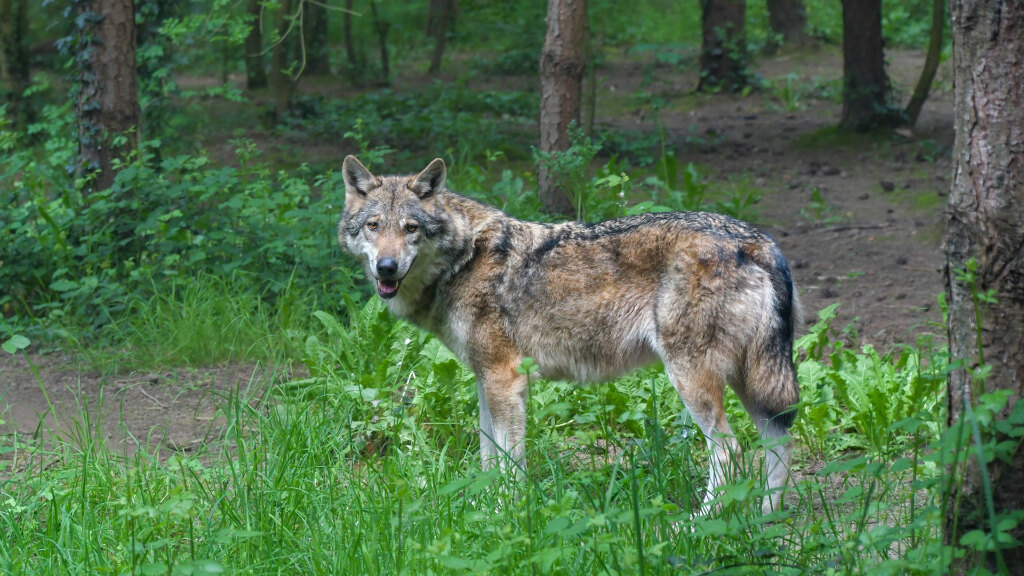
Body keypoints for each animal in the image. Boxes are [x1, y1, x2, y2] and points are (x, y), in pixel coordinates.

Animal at [335, 153, 798, 510]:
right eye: (374, 226)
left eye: (410, 228)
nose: (387, 268)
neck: (465, 258)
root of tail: (757, 241)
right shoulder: (486, 380)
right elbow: (488, 457)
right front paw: (481, 510)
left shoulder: (505, 379)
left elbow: (509, 462)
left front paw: (504, 514)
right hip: (751, 381)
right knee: (777, 444)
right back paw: (763, 521)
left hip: (693, 379)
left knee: (731, 452)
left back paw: (697, 525)